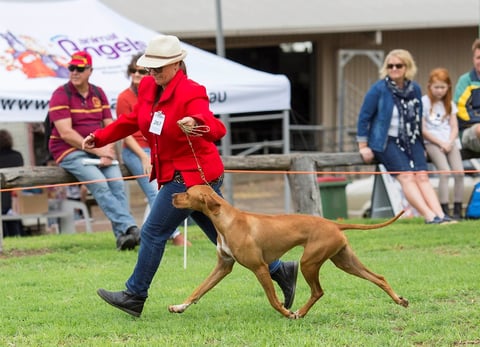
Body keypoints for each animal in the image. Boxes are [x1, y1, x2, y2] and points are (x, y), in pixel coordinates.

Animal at [169, 186, 408, 320]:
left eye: (186, 193)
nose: (171, 195)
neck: (226, 220)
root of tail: (333, 224)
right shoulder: (223, 267)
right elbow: (198, 291)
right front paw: (179, 307)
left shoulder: (260, 268)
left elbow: (273, 300)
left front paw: (286, 313)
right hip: (345, 261)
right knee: (379, 277)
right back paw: (399, 300)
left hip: (309, 262)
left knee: (318, 291)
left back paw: (299, 313)